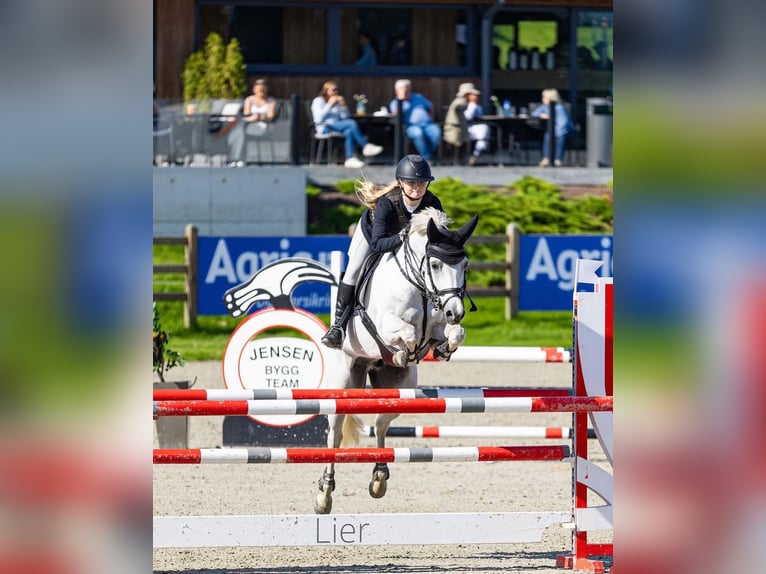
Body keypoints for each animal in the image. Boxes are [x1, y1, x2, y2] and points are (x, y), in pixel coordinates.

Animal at [316, 209, 476, 516]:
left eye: (465, 265)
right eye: (435, 264)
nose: (455, 312)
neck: (421, 286)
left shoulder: (440, 327)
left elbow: (454, 334)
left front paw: (442, 349)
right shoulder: (386, 323)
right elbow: (408, 332)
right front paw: (405, 351)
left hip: (400, 390)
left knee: (380, 425)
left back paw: (379, 478)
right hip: (342, 385)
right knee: (335, 436)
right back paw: (324, 494)